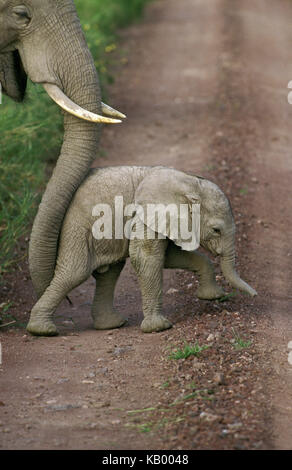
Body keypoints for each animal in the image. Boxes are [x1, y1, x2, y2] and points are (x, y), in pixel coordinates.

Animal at [26, 167, 256, 336]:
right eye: (216, 230)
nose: (255, 295)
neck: (188, 182)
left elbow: (169, 256)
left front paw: (212, 296)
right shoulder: (144, 213)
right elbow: (146, 256)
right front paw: (159, 328)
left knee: (110, 273)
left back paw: (112, 324)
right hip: (77, 228)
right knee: (74, 273)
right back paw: (42, 330)